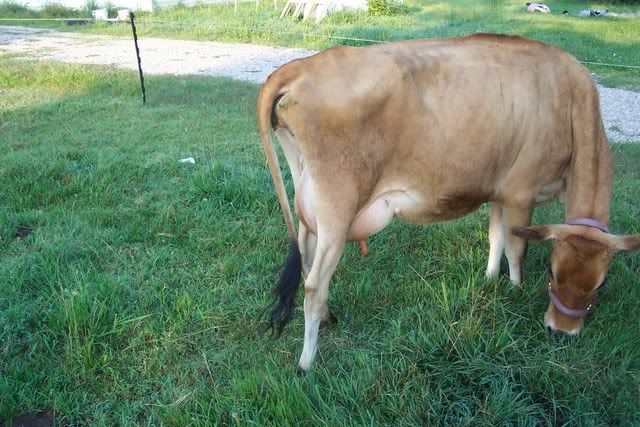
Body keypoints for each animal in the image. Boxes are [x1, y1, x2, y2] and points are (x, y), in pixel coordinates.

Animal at [256, 34, 640, 371]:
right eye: (551, 271)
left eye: (599, 283)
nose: (561, 332)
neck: (571, 99)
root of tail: (302, 65)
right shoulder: (521, 192)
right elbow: (516, 248)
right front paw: (514, 291)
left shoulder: (499, 191)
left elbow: (496, 237)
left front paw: (489, 280)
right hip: (338, 205)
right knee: (314, 284)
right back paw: (307, 363)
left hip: (310, 206)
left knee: (306, 259)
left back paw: (327, 320)